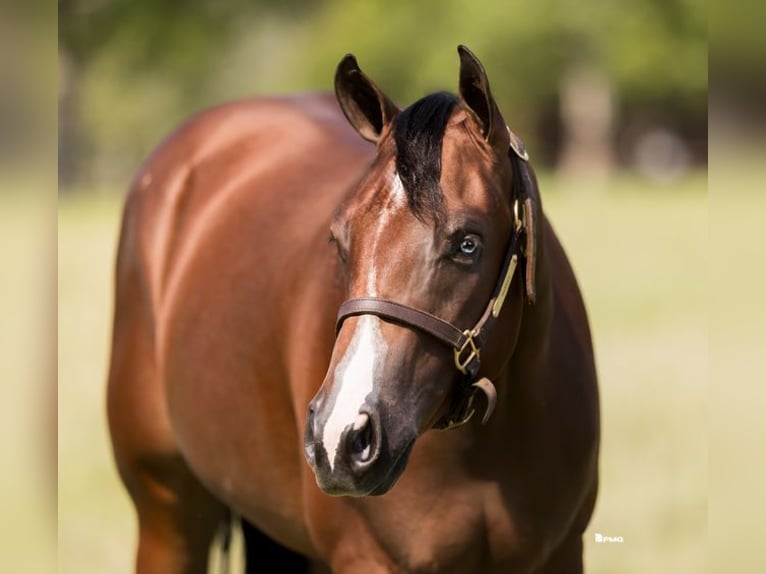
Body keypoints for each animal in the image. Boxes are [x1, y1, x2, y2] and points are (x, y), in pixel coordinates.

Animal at [107, 45, 599, 573]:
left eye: (468, 244)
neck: (483, 455)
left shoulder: (562, 554)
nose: (340, 438)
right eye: (339, 240)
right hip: (169, 516)